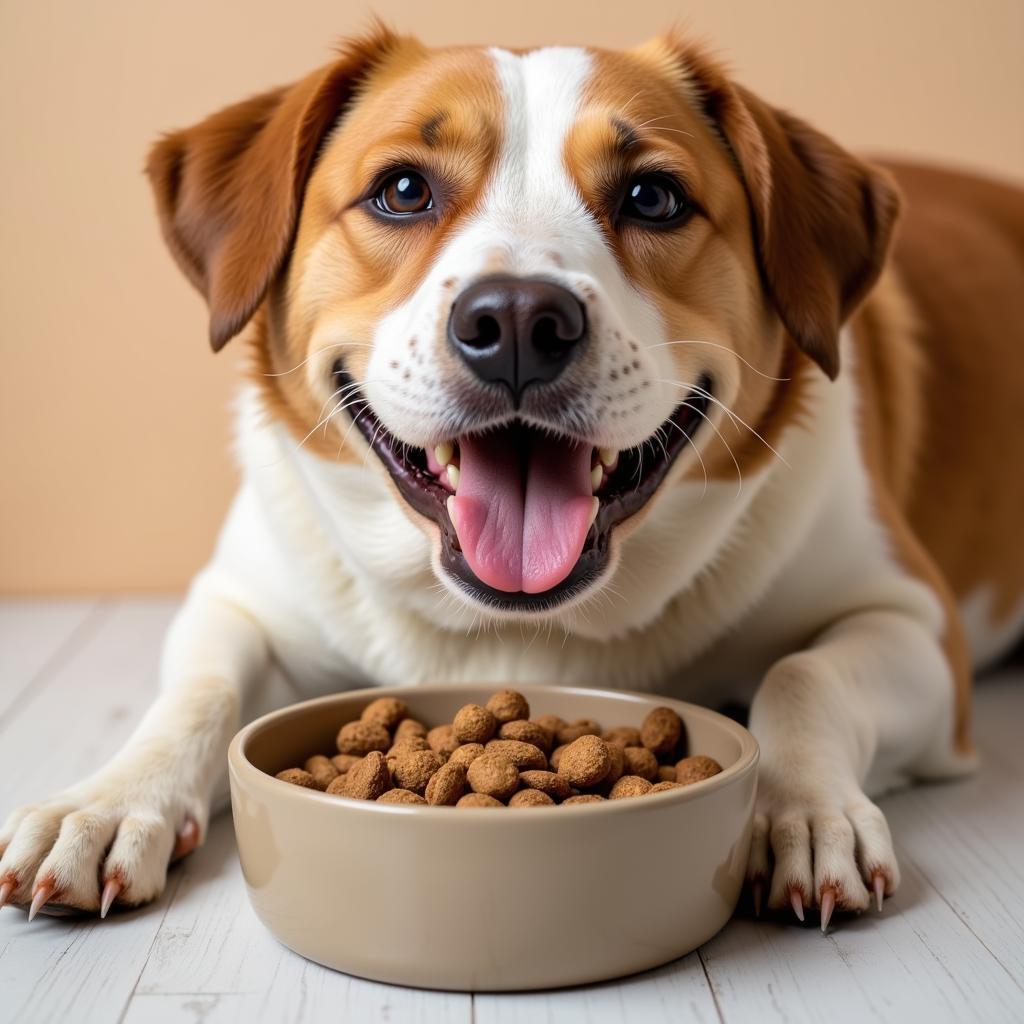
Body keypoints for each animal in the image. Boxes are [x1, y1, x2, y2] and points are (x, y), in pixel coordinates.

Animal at [2, 28, 1024, 933]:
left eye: (654, 196)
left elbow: (802, 675)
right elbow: (199, 693)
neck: (521, 629)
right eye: (402, 189)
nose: (522, 321)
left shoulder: (915, 624)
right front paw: (106, 802)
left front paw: (804, 811)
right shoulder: (237, 599)